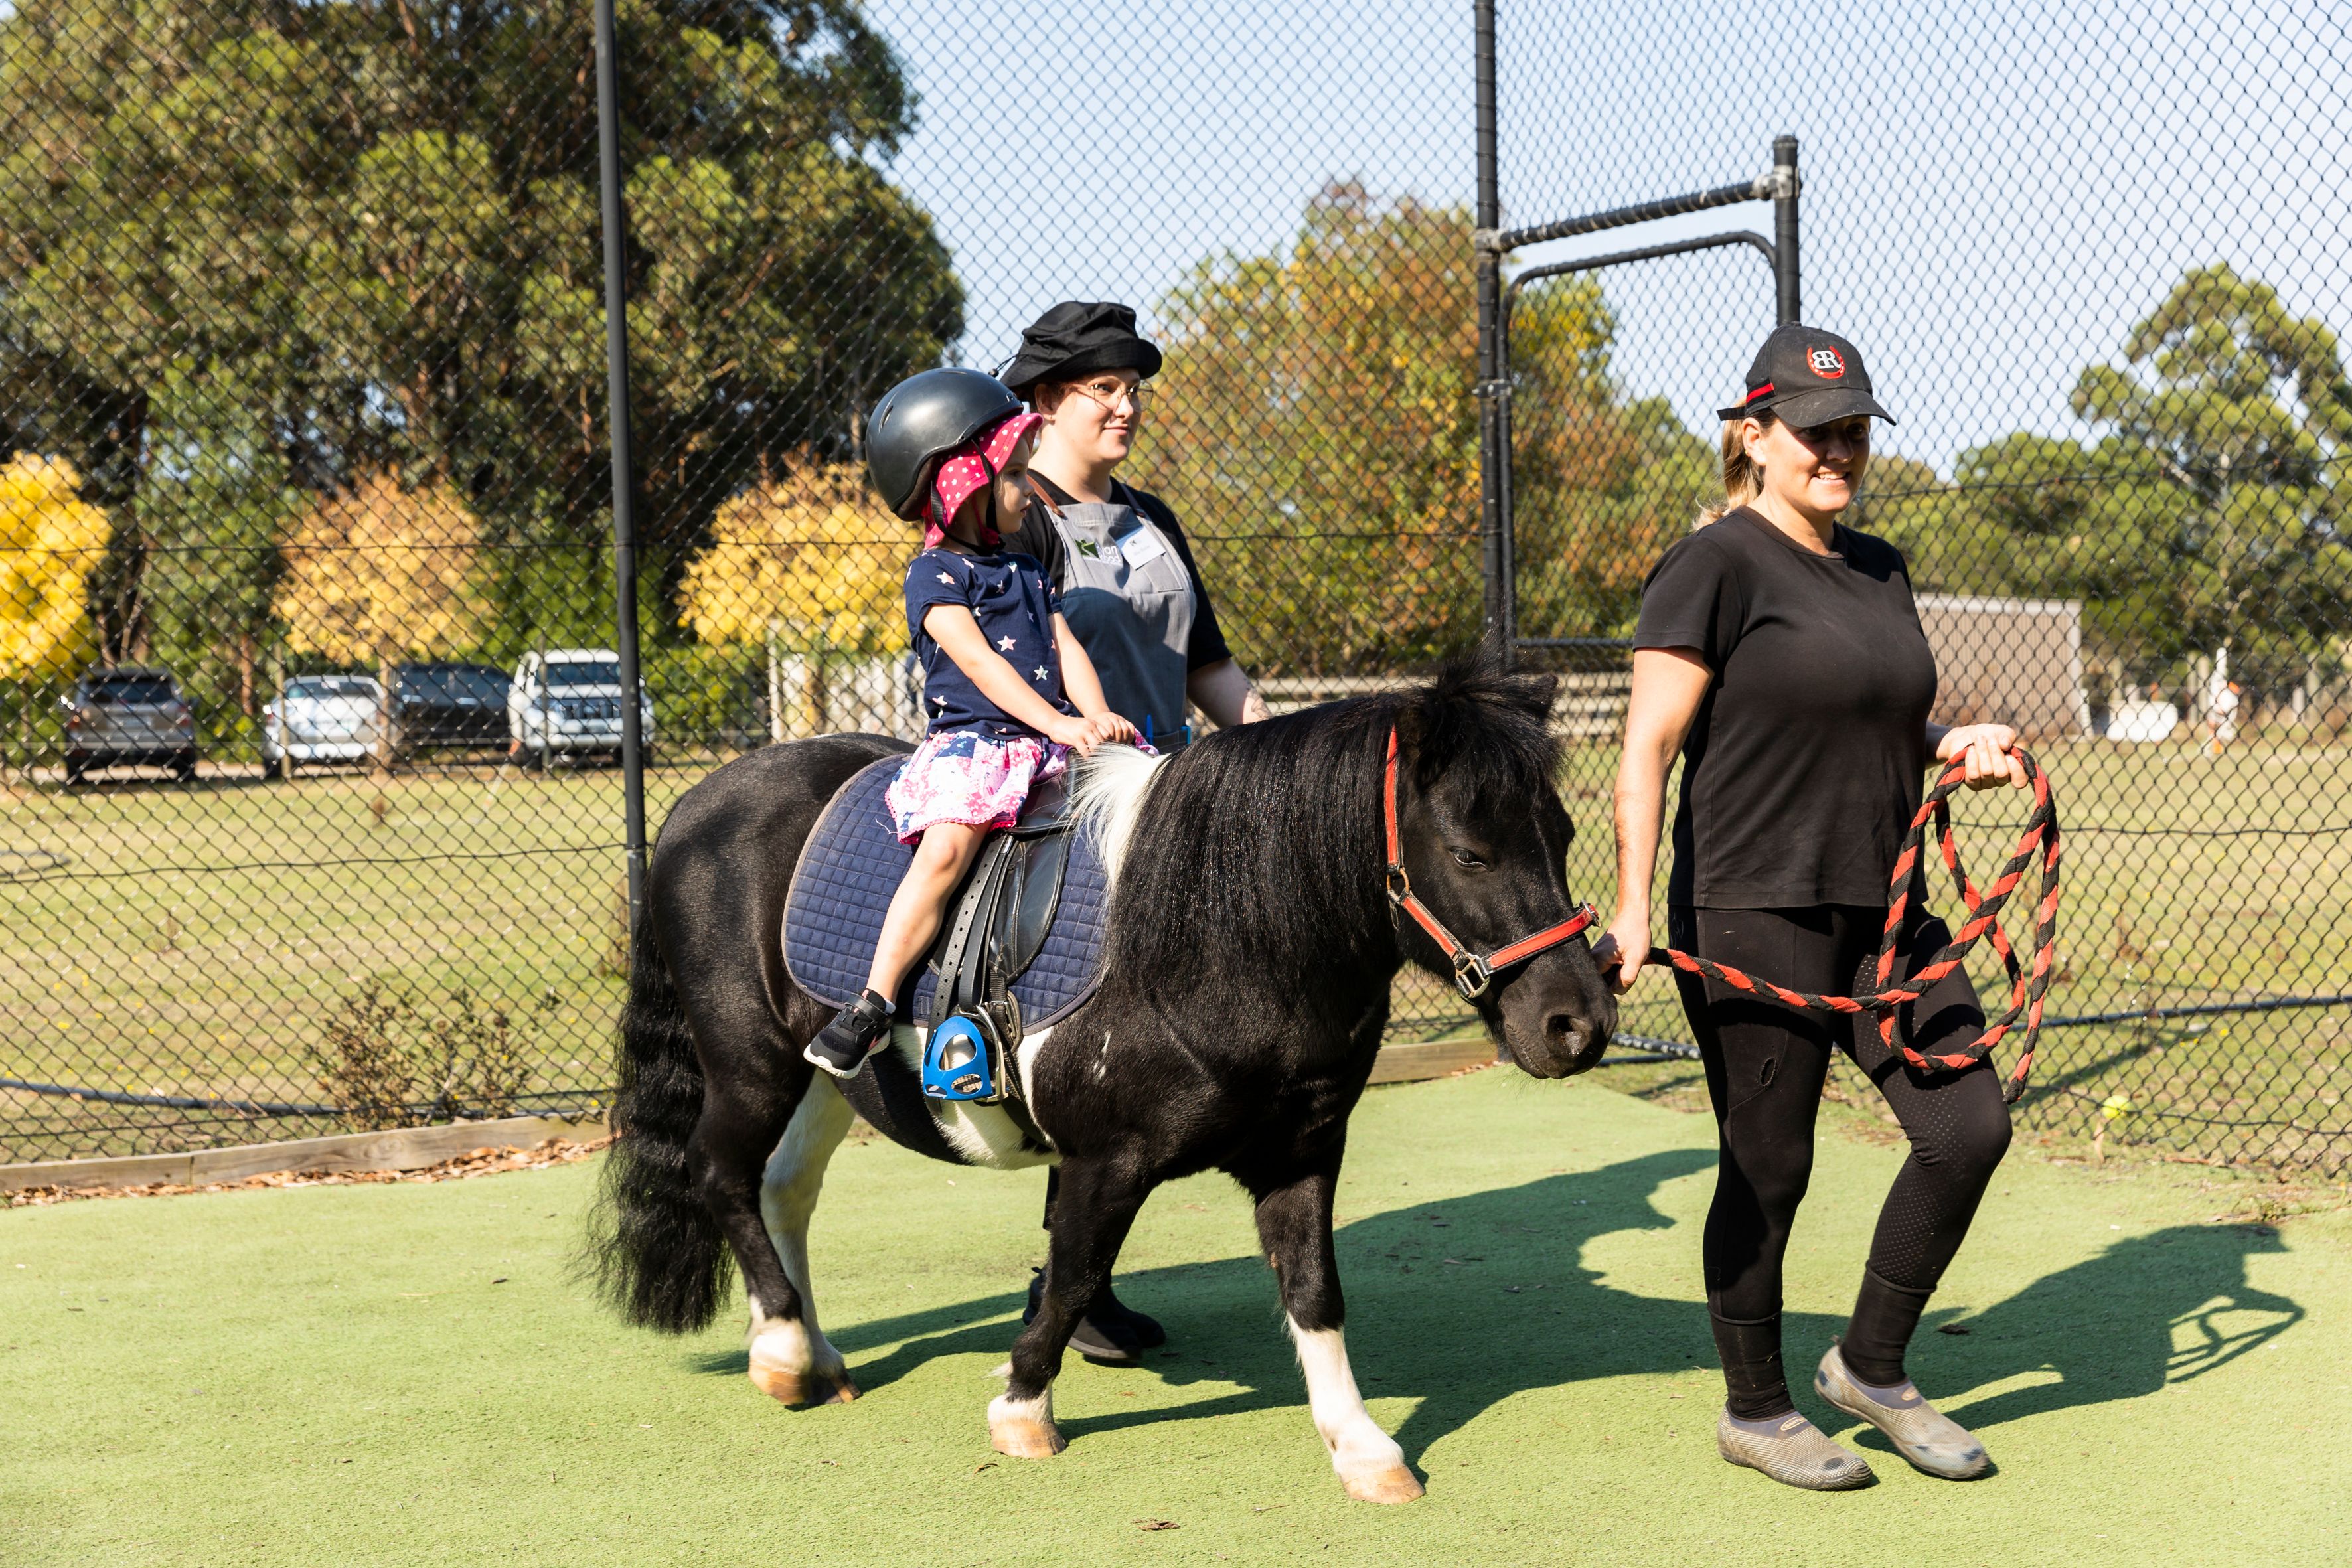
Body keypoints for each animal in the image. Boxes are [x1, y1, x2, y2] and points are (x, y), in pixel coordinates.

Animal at [585, 654, 1619, 1503]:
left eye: (1564, 833)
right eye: (1471, 852)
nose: (1579, 1022)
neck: (1215, 934)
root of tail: (701, 800)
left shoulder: (1301, 1150)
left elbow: (1315, 1290)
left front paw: (1361, 1446)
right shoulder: (1103, 1159)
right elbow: (1076, 1271)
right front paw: (1022, 1411)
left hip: (825, 1083)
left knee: (782, 1190)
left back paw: (814, 1346)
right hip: (748, 1061)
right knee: (722, 1175)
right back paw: (784, 1348)